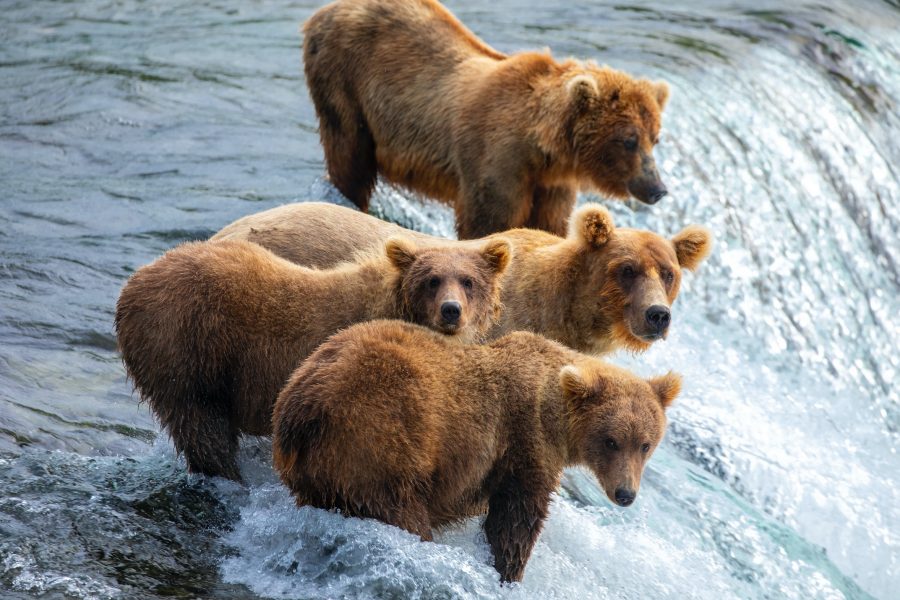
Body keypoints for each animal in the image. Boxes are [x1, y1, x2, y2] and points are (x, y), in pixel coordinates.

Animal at [115, 237, 510, 481]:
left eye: (468, 280)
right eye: (432, 279)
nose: (450, 310)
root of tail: (133, 283)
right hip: (187, 348)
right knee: (202, 426)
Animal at [272, 319, 681, 583]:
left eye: (645, 444)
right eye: (612, 441)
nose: (625, 494)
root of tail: (302, 409)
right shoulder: (525, 441)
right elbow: (515, 520)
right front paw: (507, 570)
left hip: (315, 466)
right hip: (379, 440)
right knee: (401, 509)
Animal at [302, 0, 670, 238]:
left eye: (655, 138)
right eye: (628, 140)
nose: (658, 189)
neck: (543, 149)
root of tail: (324, 10)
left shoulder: (552, 185)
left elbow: (550, 225)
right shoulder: (496, 162)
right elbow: (489, 223)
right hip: (343, 84)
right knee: (350, 159)